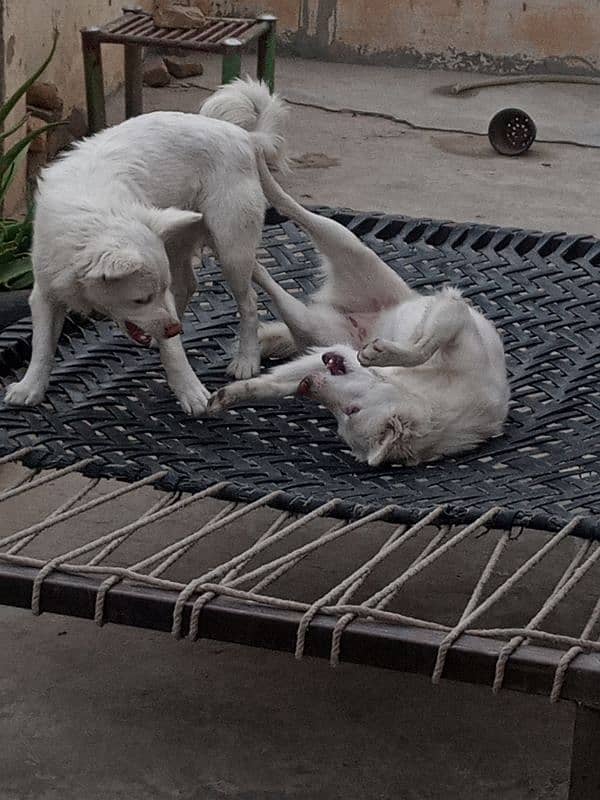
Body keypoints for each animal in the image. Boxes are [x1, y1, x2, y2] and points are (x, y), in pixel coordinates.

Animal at [3, 80, 286, 416]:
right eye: (139, 300)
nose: (174, 329)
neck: (93, 216)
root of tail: (243, 135)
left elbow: (173, 353)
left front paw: (191, 392)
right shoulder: (45, 293)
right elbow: (42, 346)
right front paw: (30, 387)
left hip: (230, 249)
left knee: (249, 302)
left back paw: (246, 359)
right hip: (178, 240)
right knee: (189, 285)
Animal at [207, 159, 510, 466]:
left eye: (348, 413)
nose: (308, 384)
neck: (424, 391)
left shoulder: (330, 357)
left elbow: (275, 385)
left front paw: (231, 395)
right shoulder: (454, 313)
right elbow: (422, 347)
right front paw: (384, 353)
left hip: (310, 324)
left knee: (274, 287)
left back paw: (251, 264)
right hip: (347, 245)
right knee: (289, 206)